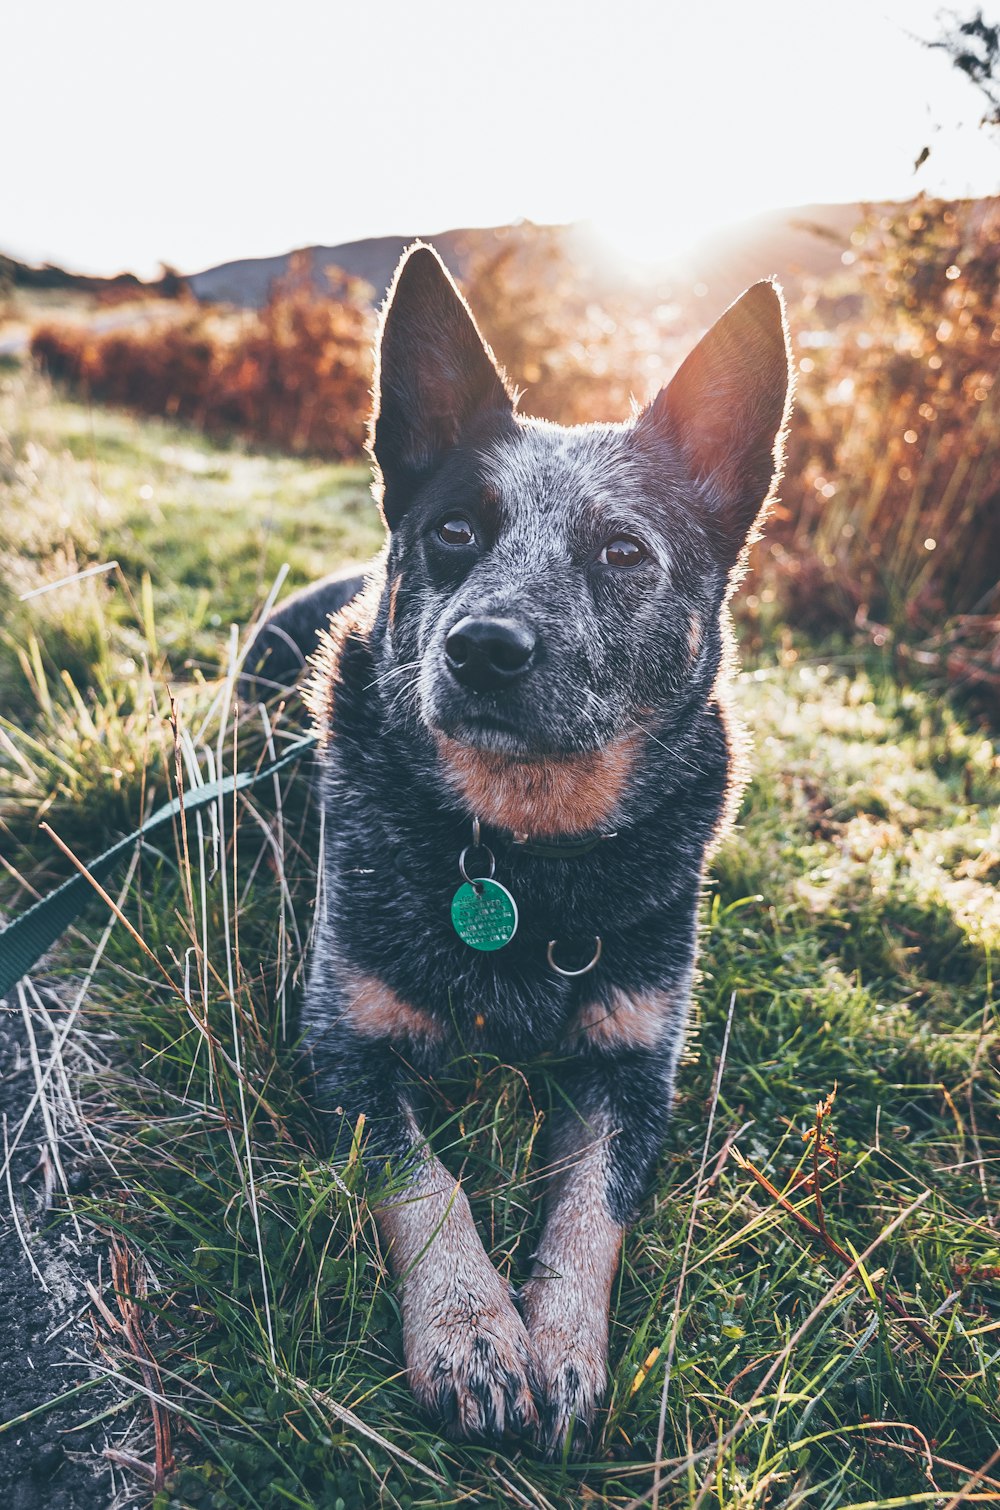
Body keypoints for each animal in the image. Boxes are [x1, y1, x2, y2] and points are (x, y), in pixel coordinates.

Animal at [246, 241, 797, 1455]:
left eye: (622, 551)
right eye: (454, 530)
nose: (485, 647)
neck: (520, 855)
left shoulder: (636, 1065)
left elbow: (591, 1209)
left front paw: (562, 1347)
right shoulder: (341, 1043)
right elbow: (427, 1182)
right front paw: (472, 1334)